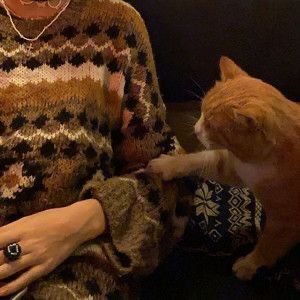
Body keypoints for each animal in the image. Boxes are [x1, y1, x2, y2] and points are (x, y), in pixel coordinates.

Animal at [148, 56, 300, 282]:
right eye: (202, 111)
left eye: (212, 126)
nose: (196, 130)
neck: (258, 164)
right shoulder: (234, 167)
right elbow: (196, 161)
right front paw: (169, 165)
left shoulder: (286, 222)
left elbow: (268, 247)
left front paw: (249, 264)